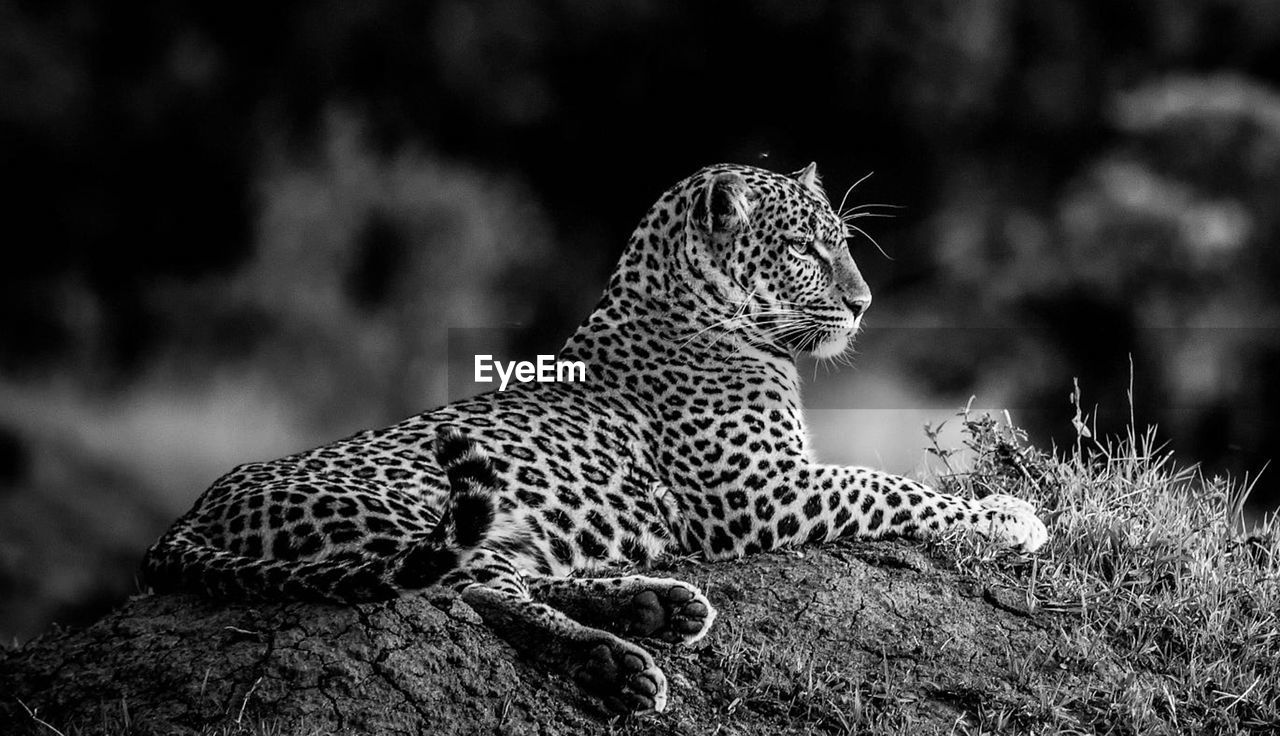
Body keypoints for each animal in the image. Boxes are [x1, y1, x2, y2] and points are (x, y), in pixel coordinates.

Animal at [145, 161, 1044, 716]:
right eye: (801, 249)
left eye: (846, 242)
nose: (862, 305)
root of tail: (190, 513)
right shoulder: (756, 493)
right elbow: (888, 485)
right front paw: (1007, 516)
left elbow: (885, 482)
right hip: (408, 507)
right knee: (464, 591)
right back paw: (617, 661)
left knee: (511, 578)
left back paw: (658, 607)